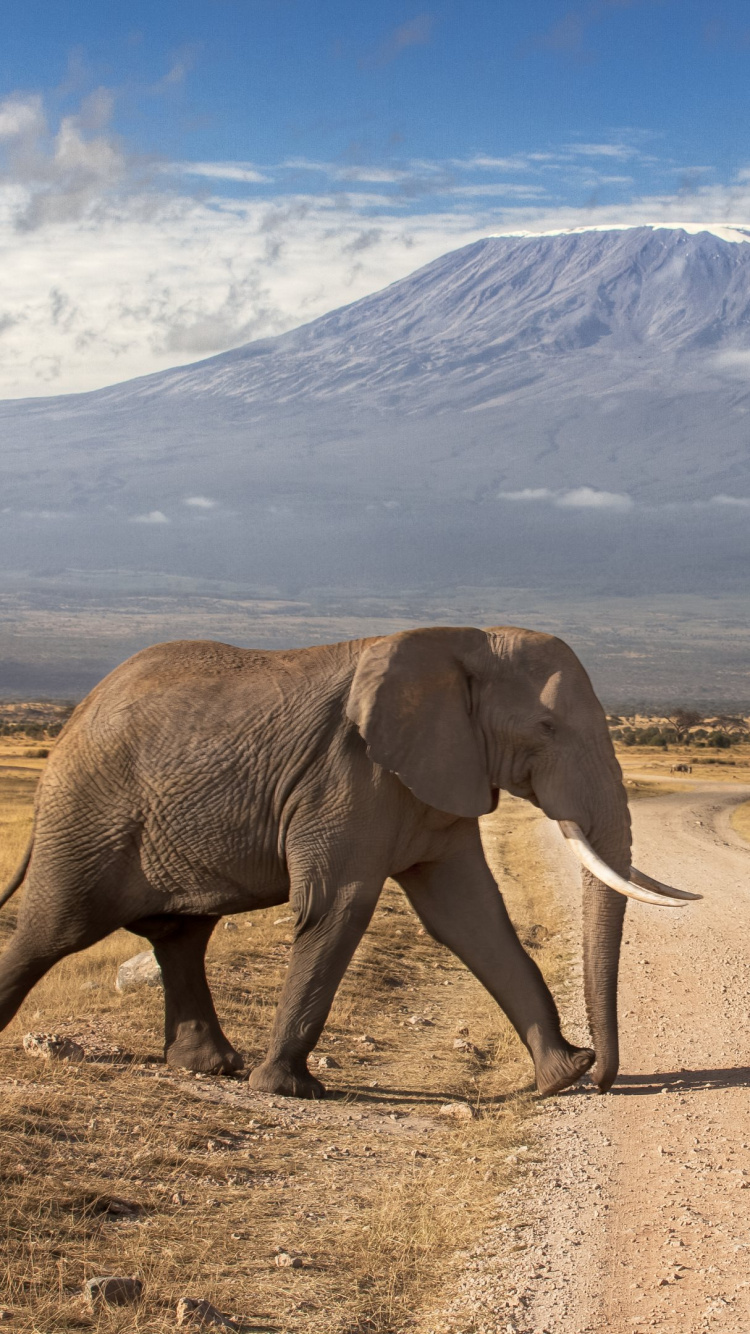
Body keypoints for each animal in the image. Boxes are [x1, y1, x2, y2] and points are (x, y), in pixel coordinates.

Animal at [0, 626, 696, 1097]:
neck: (464, 641)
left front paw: (560, 1075)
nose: (604, 1076)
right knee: (53, 930)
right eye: (547, 728)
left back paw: (209, 1067)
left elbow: (471, 918)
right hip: (86, 816)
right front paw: (287, 1090)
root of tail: (73, 720)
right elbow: (339, 905)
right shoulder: (347, 775)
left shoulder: (436, 774)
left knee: (181, 935)